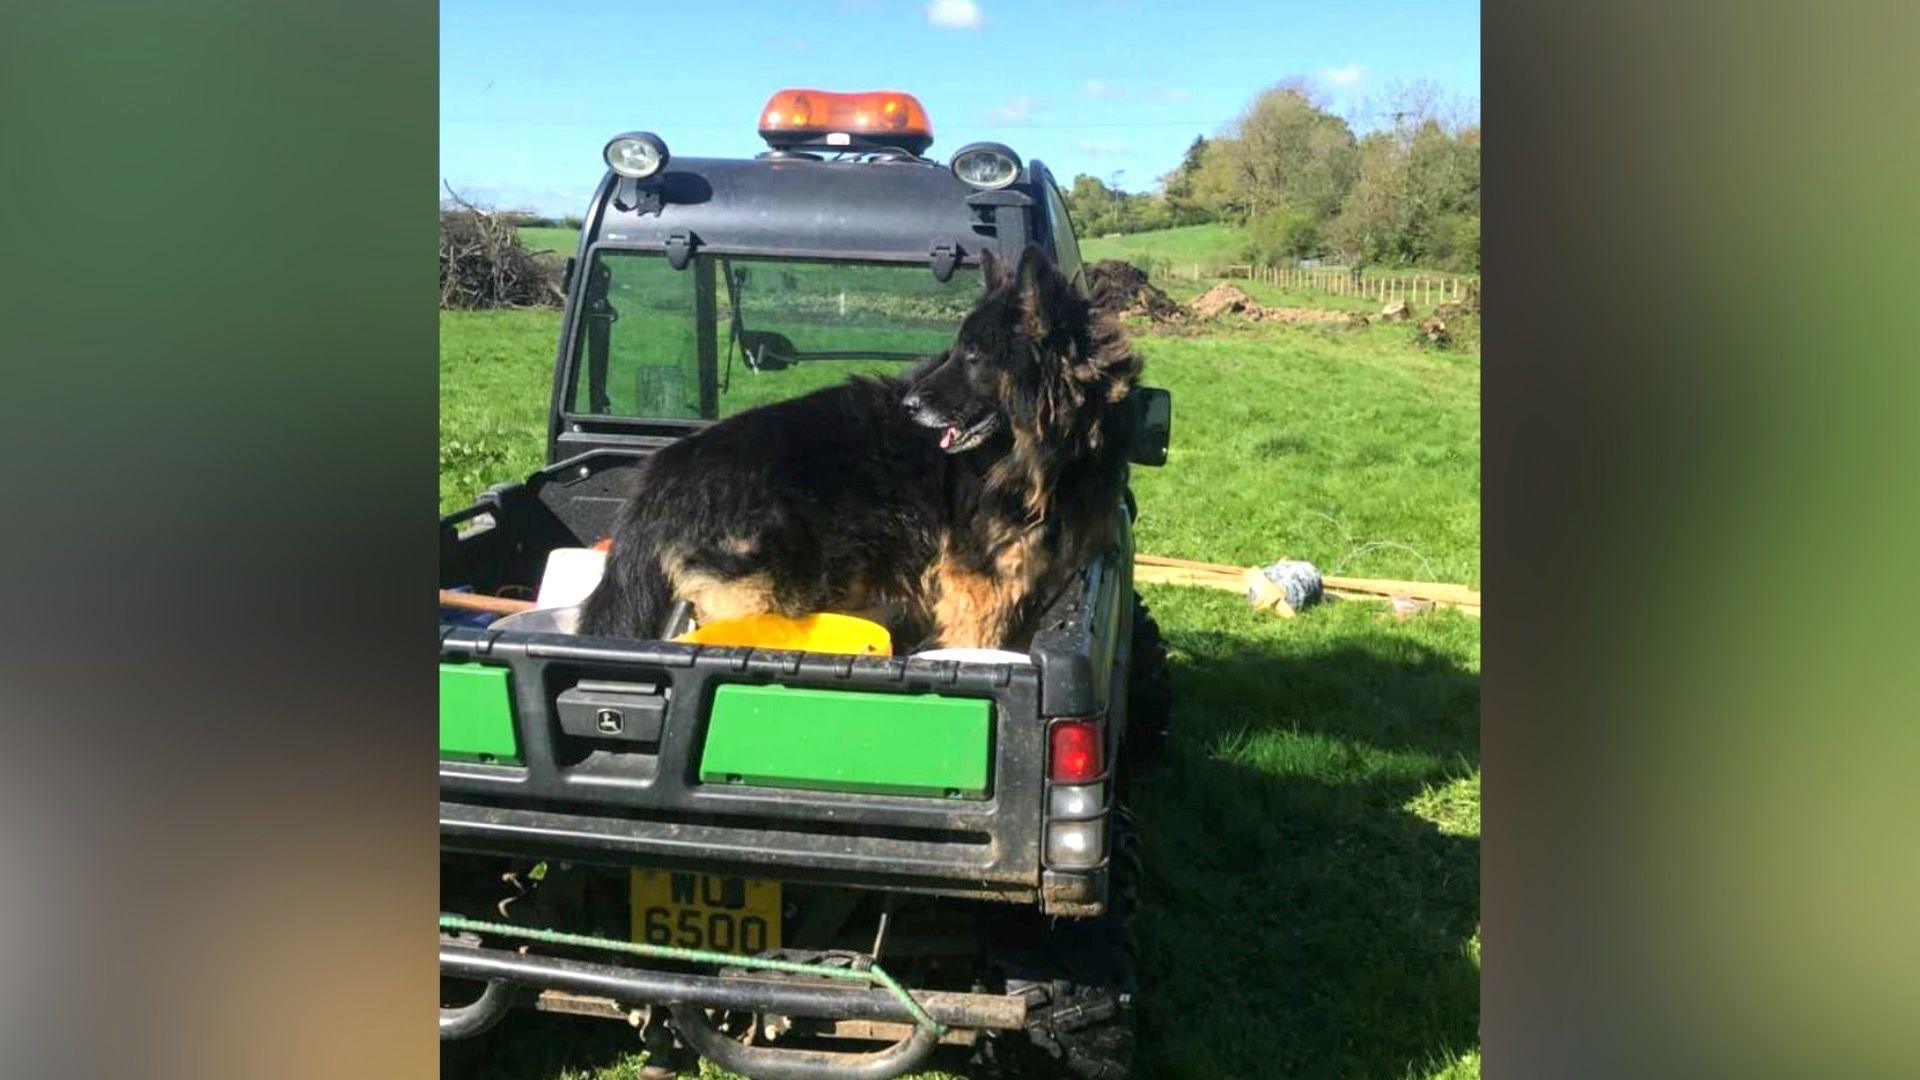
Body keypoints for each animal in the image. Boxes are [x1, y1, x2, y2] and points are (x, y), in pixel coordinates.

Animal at [576, 245, 1128, 645]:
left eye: (972, 356)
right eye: (958, 351)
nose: (909, 405)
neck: (1043, 452)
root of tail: (664, 469)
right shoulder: (979, 588)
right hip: (765, 594)